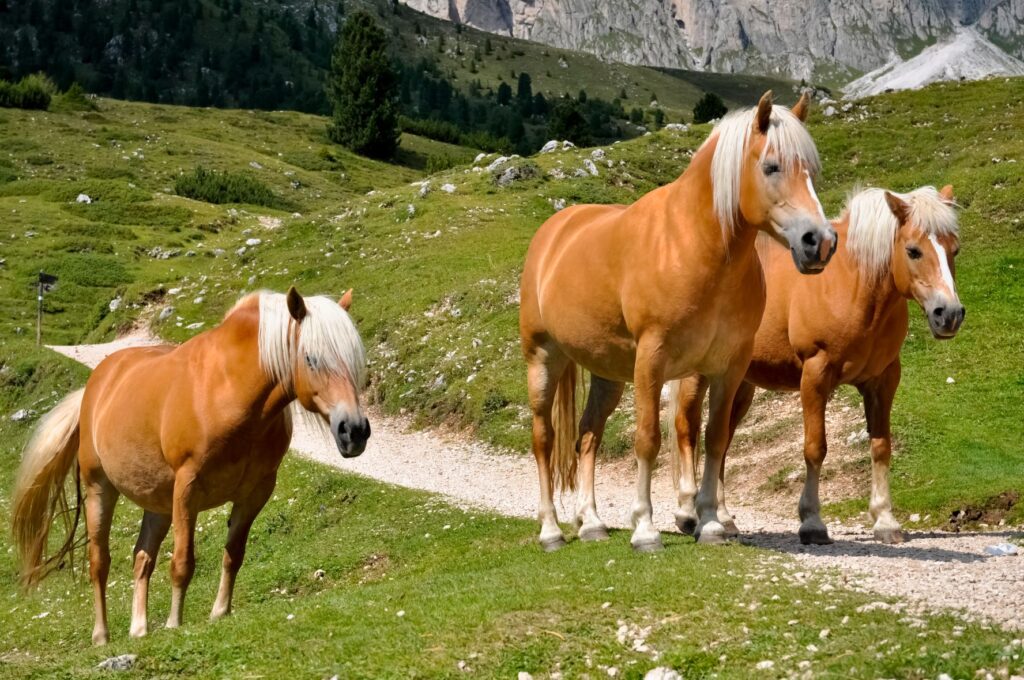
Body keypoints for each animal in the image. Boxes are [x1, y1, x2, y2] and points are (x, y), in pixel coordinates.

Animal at [9, 284, 370, 643]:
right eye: (311, 358)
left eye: (354, 359)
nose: (354, 430)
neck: (227, 389)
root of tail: (96, 385)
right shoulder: (188, 487)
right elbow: (182, 563)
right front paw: (174, 623)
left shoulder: (255, 492)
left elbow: (233, 554)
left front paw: (219, 612)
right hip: (101, 488)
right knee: (99, 562)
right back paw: (101, 635)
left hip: (158, 503)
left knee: (142, 558)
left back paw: (139, 630)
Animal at [520, 90, 839, 548]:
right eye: (771, 166)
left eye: (811, 170)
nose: (820, 242)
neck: (691, 245)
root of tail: (553, 231)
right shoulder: (652, 360)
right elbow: (648, 439)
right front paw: (645, 529)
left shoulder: (727, 366)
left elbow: (716, 439)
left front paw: (710, 524)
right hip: (543, 359)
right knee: (544, 439)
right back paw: (550, 530)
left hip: (607, 375)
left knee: (587, 436)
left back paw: (592, 522)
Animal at [667, 183, 962, 544]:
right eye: (913, 251)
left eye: (955, 249)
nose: (949, 314)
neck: (852, 285)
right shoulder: (815, 375)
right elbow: (815, 448)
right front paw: (812, 521)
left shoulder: (883, 380)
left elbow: (881, 447)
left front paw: (885, 520)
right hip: (697, 374)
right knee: (687, 427)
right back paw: (687, 512)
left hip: (739, 382)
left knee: (721, 441)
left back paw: (723, 519)